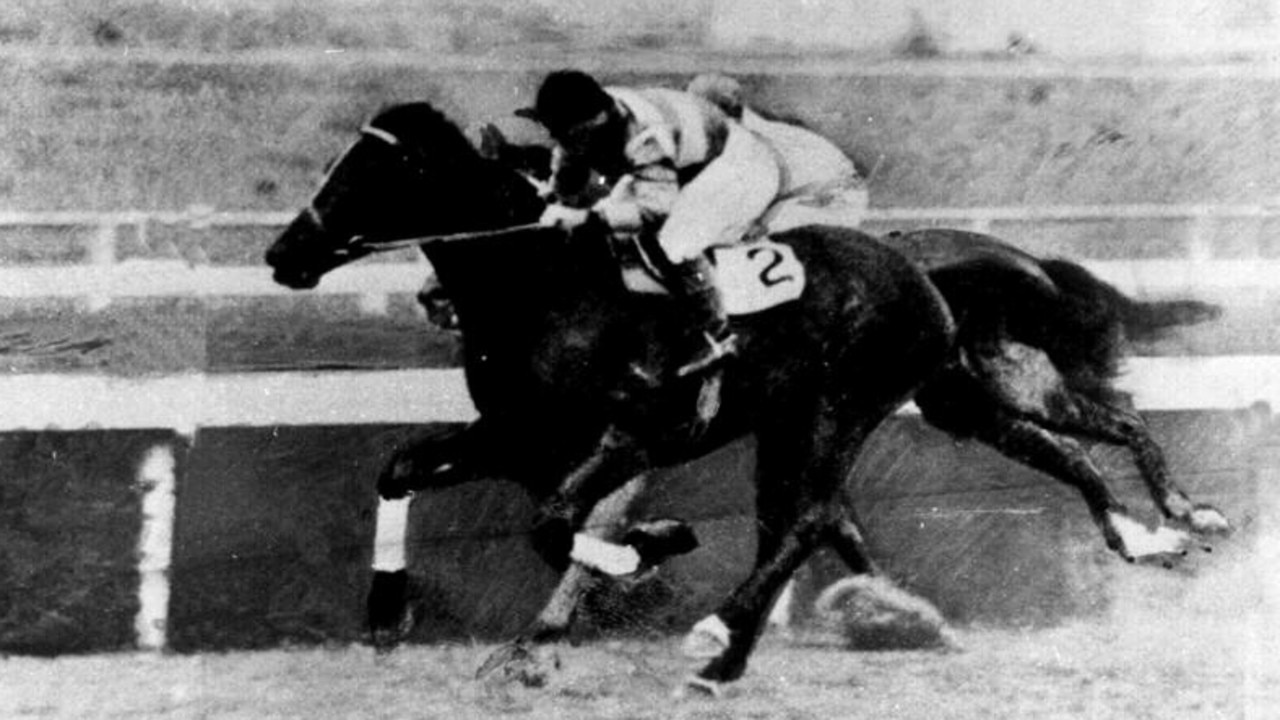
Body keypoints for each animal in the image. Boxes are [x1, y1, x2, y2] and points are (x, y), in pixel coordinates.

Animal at [264, 103, 957, 686]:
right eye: (334, 169)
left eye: (374, 177)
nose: (281, 253)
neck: (548, 292)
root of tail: (914, 271)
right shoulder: (512, 434)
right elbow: (404, 470)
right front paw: (387, 612)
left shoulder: (632, 436)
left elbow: (553, 525)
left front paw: (648, 551)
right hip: (787, 425)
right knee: (808, 518)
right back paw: (823, 634)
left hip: (837, 412)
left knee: (806, 520)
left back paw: (721, 637)